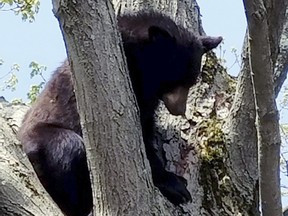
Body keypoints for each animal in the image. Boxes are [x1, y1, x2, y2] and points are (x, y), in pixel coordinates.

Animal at [17, 10, 220, 216]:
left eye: (190, 82)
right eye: (174, 80)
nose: (179, 109)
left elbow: (146, 129)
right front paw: (175, 185)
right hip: (41, 140)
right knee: (70, 146)